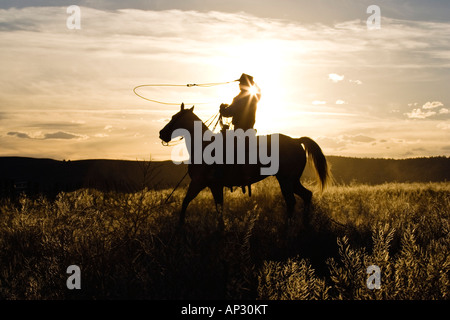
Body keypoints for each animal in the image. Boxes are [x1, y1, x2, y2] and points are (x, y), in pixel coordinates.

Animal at [159, 103, 330, 228]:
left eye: (175, 117)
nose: (162, 133)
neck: (203, 145)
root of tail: (296, 140)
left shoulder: (200, 183)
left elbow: (186, 202)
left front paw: (180, 227)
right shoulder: (214, 186)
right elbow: (218, 207)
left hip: (286, 181)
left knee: (291, 201)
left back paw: (288, 229)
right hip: (292, 181)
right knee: (306, 195)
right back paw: (305, 225)